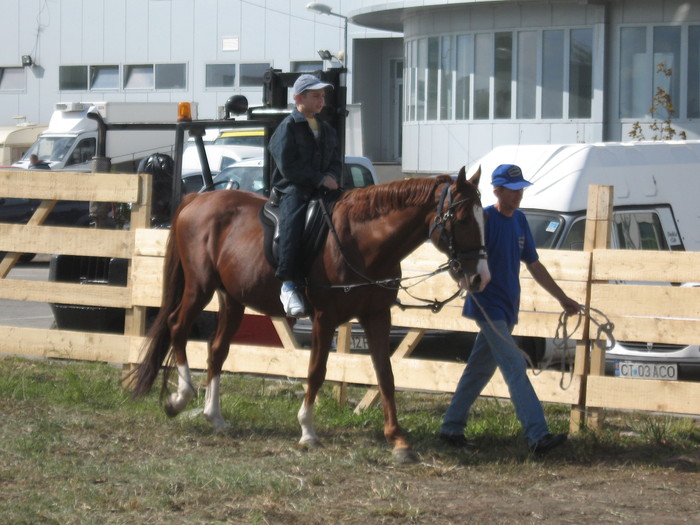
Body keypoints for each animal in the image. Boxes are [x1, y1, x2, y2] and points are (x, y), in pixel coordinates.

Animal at [131, 166, 486, 460]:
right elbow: (317, 370)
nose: (480, 277)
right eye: (464, 219)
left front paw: (398, 440)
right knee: (177, 327)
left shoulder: (377, 317)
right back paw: (180, 398)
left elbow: (385, 375)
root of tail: (196, 199)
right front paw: (307, 431)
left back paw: (214, 416)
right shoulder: (324, 318)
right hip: (199, 287)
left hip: (232, 299)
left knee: (217, 350)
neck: (362, 242)